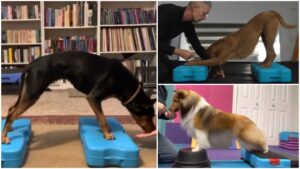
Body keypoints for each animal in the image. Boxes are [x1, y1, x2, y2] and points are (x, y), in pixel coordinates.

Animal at [2, 51, 156, 144]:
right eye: (149, 115)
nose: (153, 130)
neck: (122, 81)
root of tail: (31, 65)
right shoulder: (93, 97)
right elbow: (103, 119)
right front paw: (107, 135)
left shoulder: (94, 101)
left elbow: (100, 117)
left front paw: (105, 131)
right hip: (32, 94)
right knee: (12, 114)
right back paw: (4, 137)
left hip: (27, 92)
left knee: (10, 109)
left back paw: (9, 129)